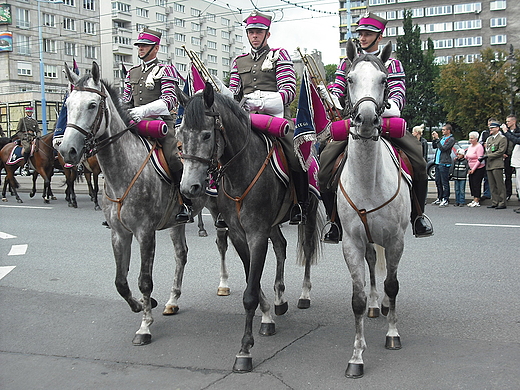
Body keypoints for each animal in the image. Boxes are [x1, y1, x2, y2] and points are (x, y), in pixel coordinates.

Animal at [59, 62, 228, 346]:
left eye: (92, 105)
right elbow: (120, 281)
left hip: (218, 210)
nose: (66, 150)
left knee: (222, 244)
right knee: (181, 254)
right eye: (68, 104)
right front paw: (141, 305)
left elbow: (144, 280)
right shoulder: (119, 233)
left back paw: (224, 284)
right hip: (176, 222)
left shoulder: (145, 232)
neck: (122, 173)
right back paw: (172, 300)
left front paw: (145, 327)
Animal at [176, 81, 320, 372]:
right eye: (182, 134)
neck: (240, 172)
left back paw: (304, 294)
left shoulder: (257, 234)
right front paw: (266, 316)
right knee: (281, 247)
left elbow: (250, 293)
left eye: (206, 135)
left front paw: (244, 350)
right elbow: (250, 280)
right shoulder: (238, 235)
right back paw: (279, 299)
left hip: (308, 213)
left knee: (308, 249)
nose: (189, 187)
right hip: (274, 224)